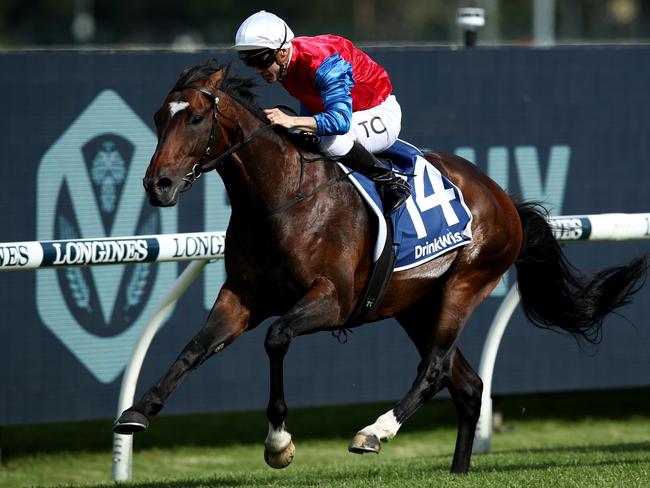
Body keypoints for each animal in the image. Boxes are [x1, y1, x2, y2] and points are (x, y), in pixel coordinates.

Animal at [115, 60, 644, 472]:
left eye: (196, 118)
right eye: (159, 116)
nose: (158, 185)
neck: (282, 198)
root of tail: (503, 198)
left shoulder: (334, 300)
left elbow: (277, 338)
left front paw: (278, 443)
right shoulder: (243, 295)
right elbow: (195, 347)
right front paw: (138, 411)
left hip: (466, 282)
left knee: (435, 369)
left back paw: (375, 431)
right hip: (415, 305)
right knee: (468, 386)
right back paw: (457, 470)